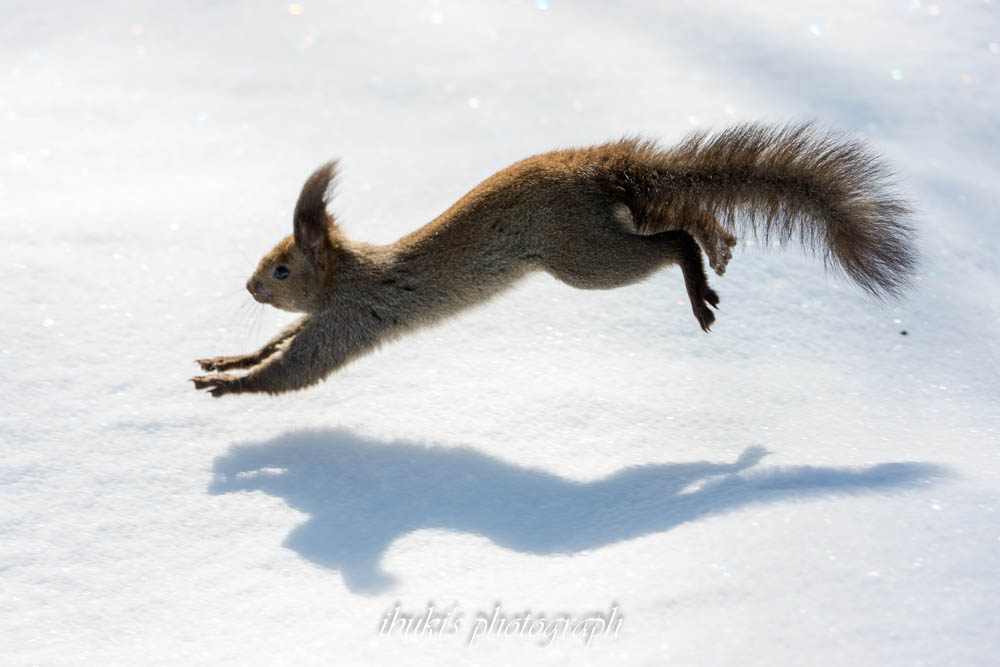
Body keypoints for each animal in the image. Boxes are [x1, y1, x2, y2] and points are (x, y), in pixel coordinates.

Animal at [192, 122, 916, 398]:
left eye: (282, 268)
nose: (249, 286)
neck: (349, 271)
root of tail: (598, 168)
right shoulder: (327, 313)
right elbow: (278, 342)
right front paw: (225, 360)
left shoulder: (350, 316)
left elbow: (295, 365)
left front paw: (231, 387)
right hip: (608, 227)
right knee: (684, 216)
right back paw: (719, 242)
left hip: (584, 257)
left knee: (670, 243)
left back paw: (699, 283)